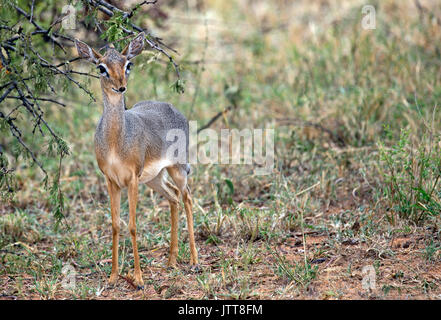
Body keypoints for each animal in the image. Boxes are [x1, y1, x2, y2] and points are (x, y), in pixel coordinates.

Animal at [75, 33, 198, 290]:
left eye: (128, 64)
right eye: (101, 67)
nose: (120, 86)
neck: (116, 142)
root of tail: (172, 108)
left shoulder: (131, 179)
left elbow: (132, 226)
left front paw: (139, 279)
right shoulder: (111, 181)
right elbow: (115, 225)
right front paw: (113, 277)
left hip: (178, 169)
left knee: (187, 198)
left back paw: (194, 261)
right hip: (154, 179)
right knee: (173, 198)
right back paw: (171, 262)